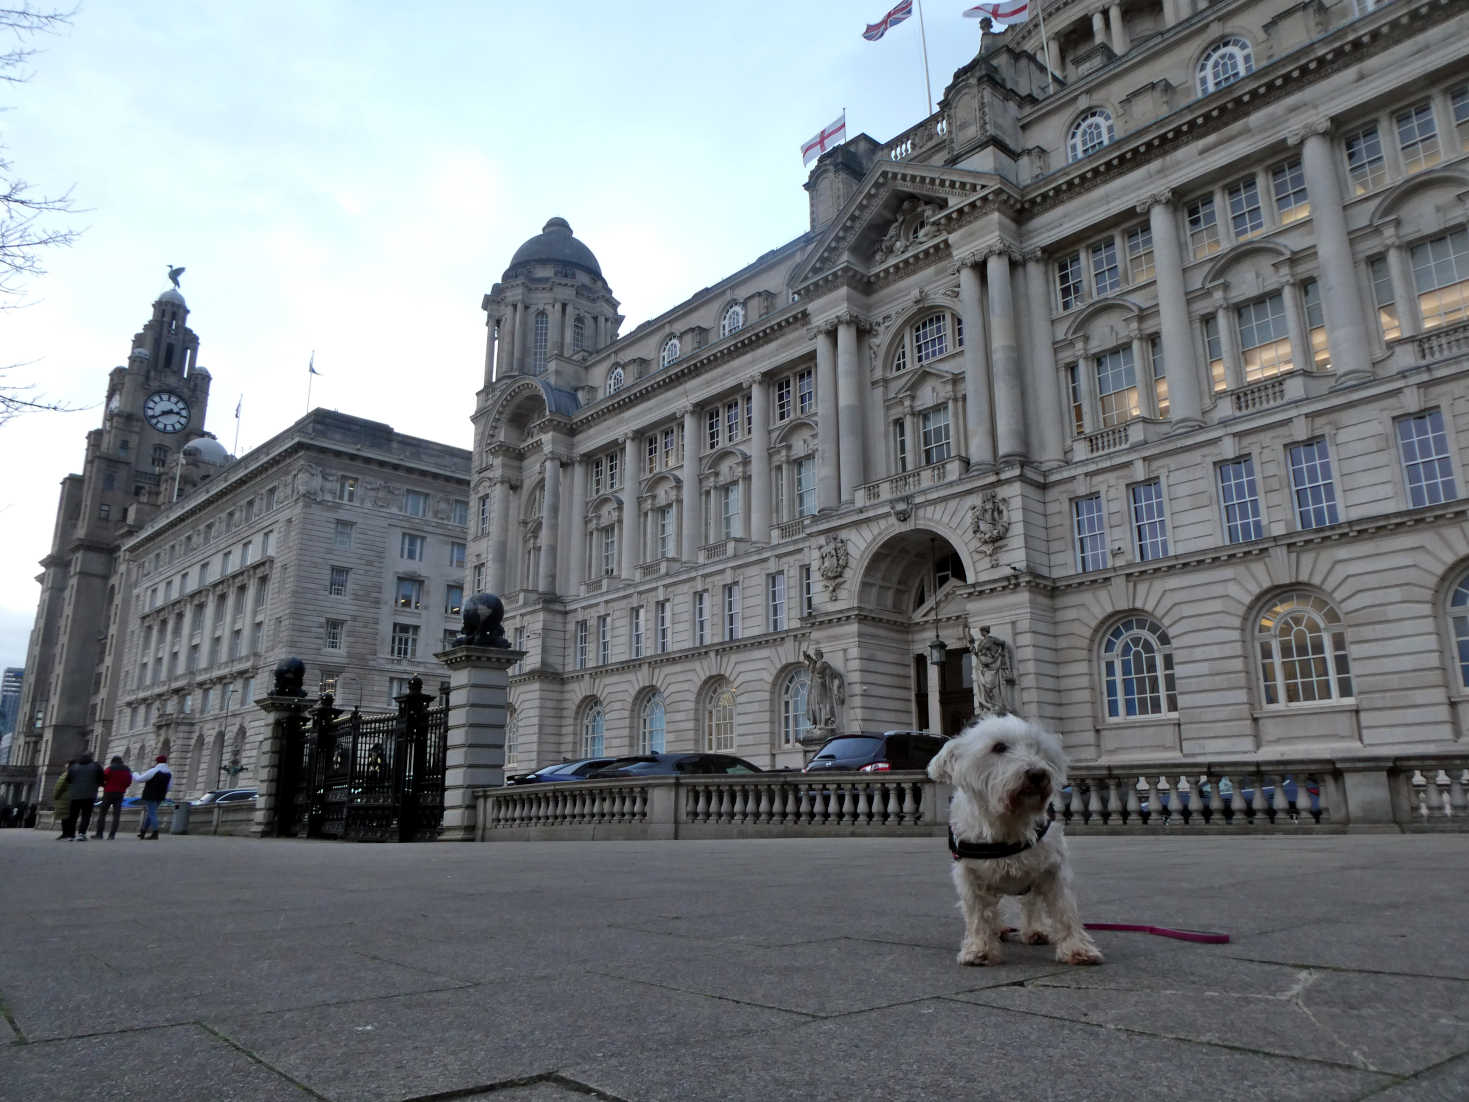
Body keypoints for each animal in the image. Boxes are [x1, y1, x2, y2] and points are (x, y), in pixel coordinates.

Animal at [928, 717, 1104, 963]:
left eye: (1037, 748)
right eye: (999, 747)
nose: (1038, 774)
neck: (1008, 821)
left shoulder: (1052, 868)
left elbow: (1064, 909)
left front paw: (1077, 949)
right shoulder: (970, 874)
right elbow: (977, 912)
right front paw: (978, 949)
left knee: (1030, 903)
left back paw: (1035, 931)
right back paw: (999, 929)